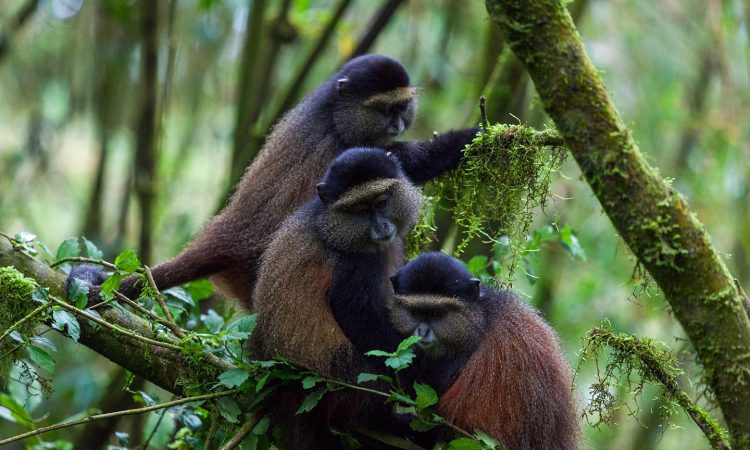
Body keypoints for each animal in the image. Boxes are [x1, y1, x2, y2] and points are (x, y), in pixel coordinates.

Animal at [69, 54, 478, 306]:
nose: (396, 123)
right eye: (384, 109)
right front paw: (475, 137)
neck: (333, 113)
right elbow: (402, 164)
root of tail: (226, 237)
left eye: (402, 107)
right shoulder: (344, 151)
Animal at [249, 147, 424, 449]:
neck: (332, 225)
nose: (381, 226)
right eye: (361, 211)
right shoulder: (355, 266)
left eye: (381, 203)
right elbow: (358, 316)